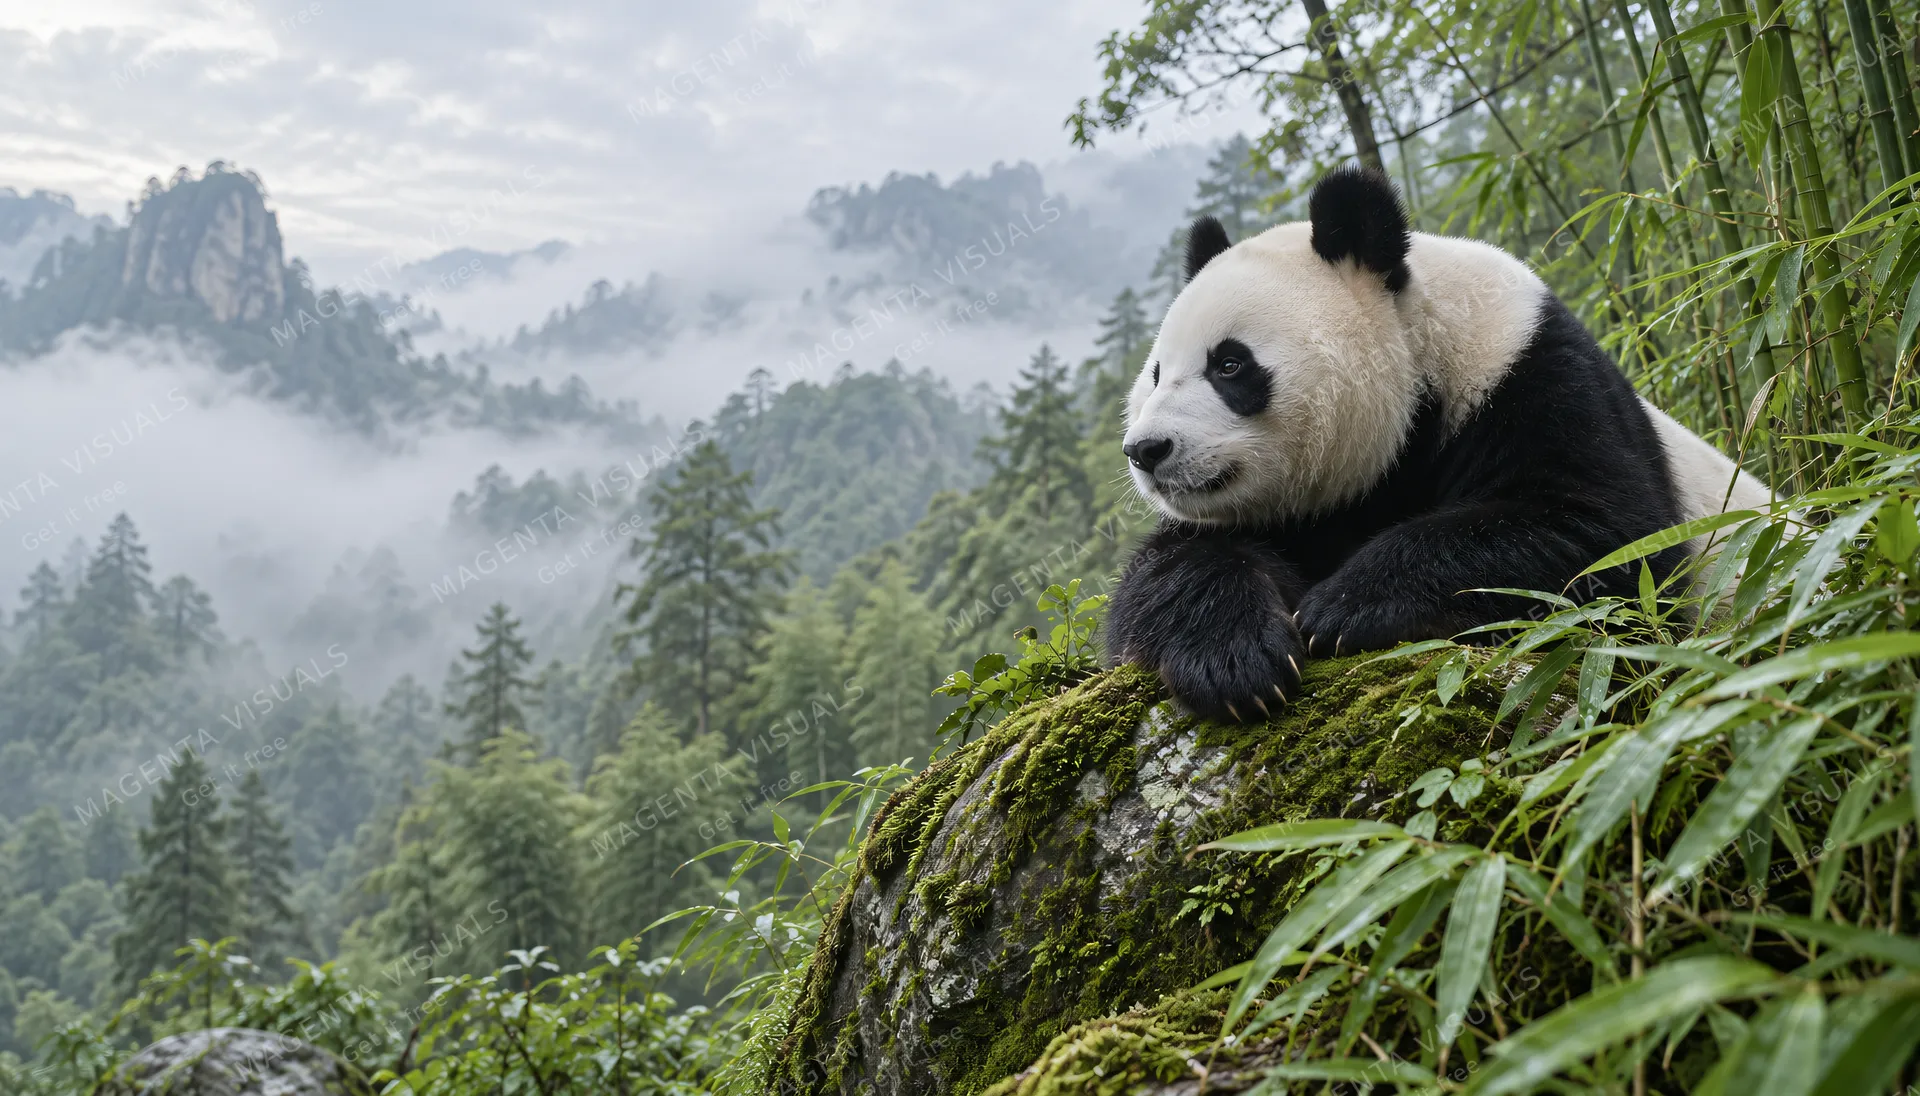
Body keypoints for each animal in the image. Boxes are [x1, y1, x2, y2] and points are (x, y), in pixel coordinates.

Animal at [1107, 166, 1771, 724]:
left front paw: (1341, 608)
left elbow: (1606, 539)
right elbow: (1168, 571)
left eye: (1230, 364)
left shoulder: (1535, 378)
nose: (1148, 450)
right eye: (1157, 374)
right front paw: (1235, 662)